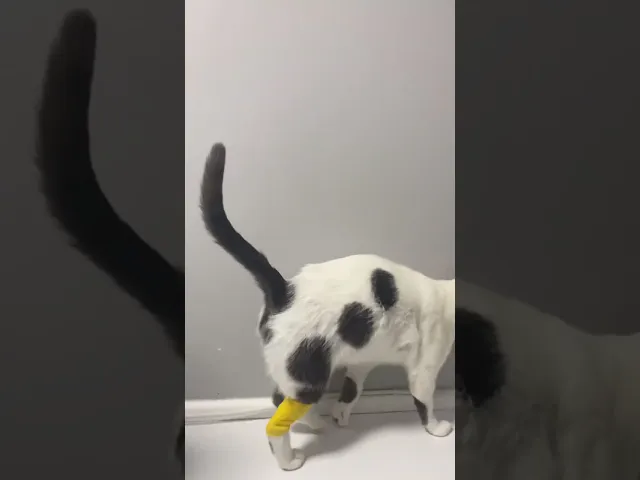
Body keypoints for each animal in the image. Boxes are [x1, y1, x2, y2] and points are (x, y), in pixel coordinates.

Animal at [199, 143, 455, 471]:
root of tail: (284, 288)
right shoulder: (424, 370)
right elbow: (424, 403)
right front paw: (436, 428)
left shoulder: (362, 361)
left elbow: (351, 390)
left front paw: (340, 415)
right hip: (309, 377)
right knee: (275, 423)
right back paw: (289, 461)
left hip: (297, 375)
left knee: (277, 398)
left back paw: (317, 423)